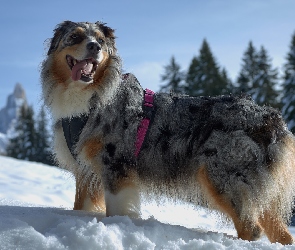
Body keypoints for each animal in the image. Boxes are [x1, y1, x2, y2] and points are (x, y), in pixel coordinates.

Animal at [40, 21, 295, 244]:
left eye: (101, 40)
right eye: (75, 37)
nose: (95, 47)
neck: (88, 98)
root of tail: (271, 118)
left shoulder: (115, 166)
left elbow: (116, 208)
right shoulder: (86, 171)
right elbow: (80, 205)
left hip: (222, 177)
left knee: (251, 229)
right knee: (280, 233)